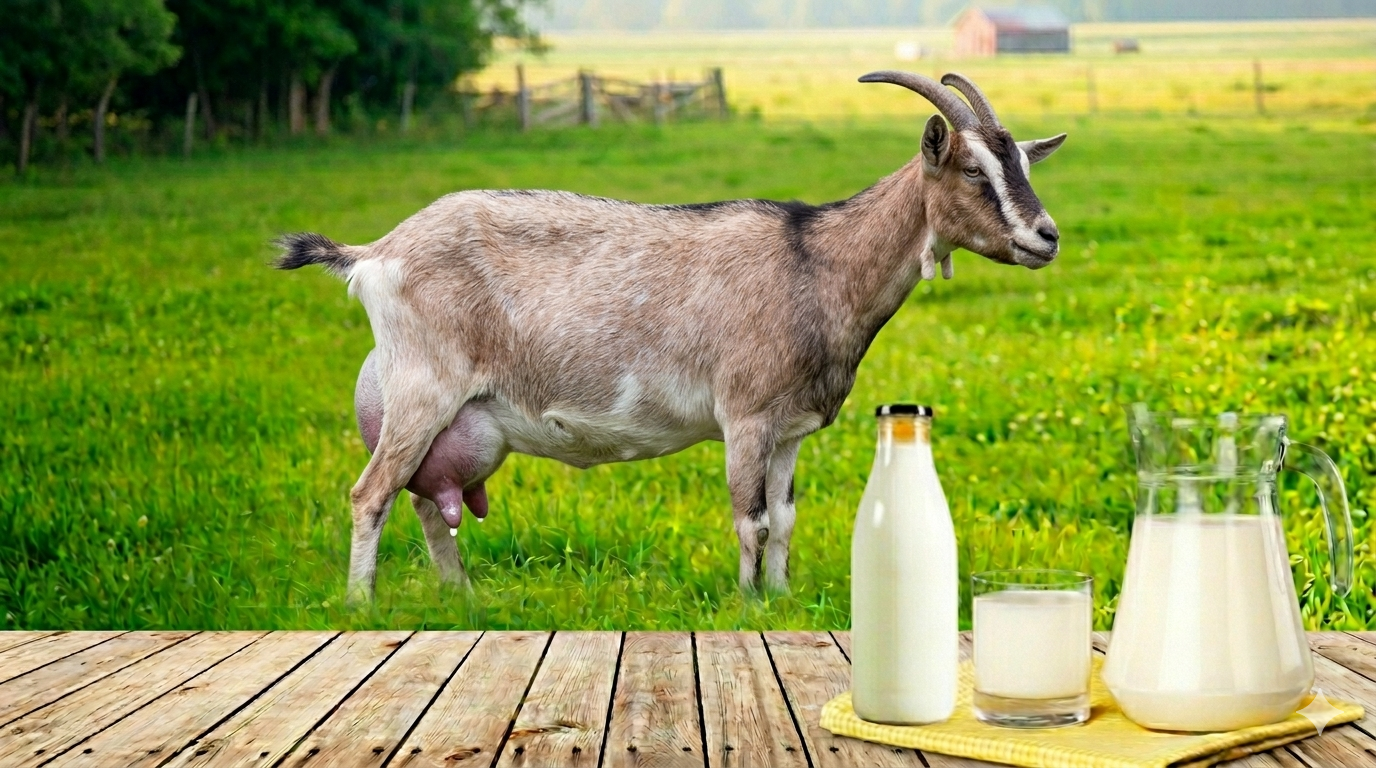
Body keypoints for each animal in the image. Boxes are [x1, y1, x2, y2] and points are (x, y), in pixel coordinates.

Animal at [277, 72, 1066, 603]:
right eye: (971, 169)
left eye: (1023, 164)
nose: (1046, 236)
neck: (816, 262)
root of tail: (375, 253)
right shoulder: (745, 415)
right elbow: (750, 521)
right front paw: (748, 606)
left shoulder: (789, 430)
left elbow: (785, 519)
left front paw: (782, 601)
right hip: (423, 385)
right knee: (371, 494)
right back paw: (361, 604)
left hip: (454, 417)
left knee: (424, 500)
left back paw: (461, 597)